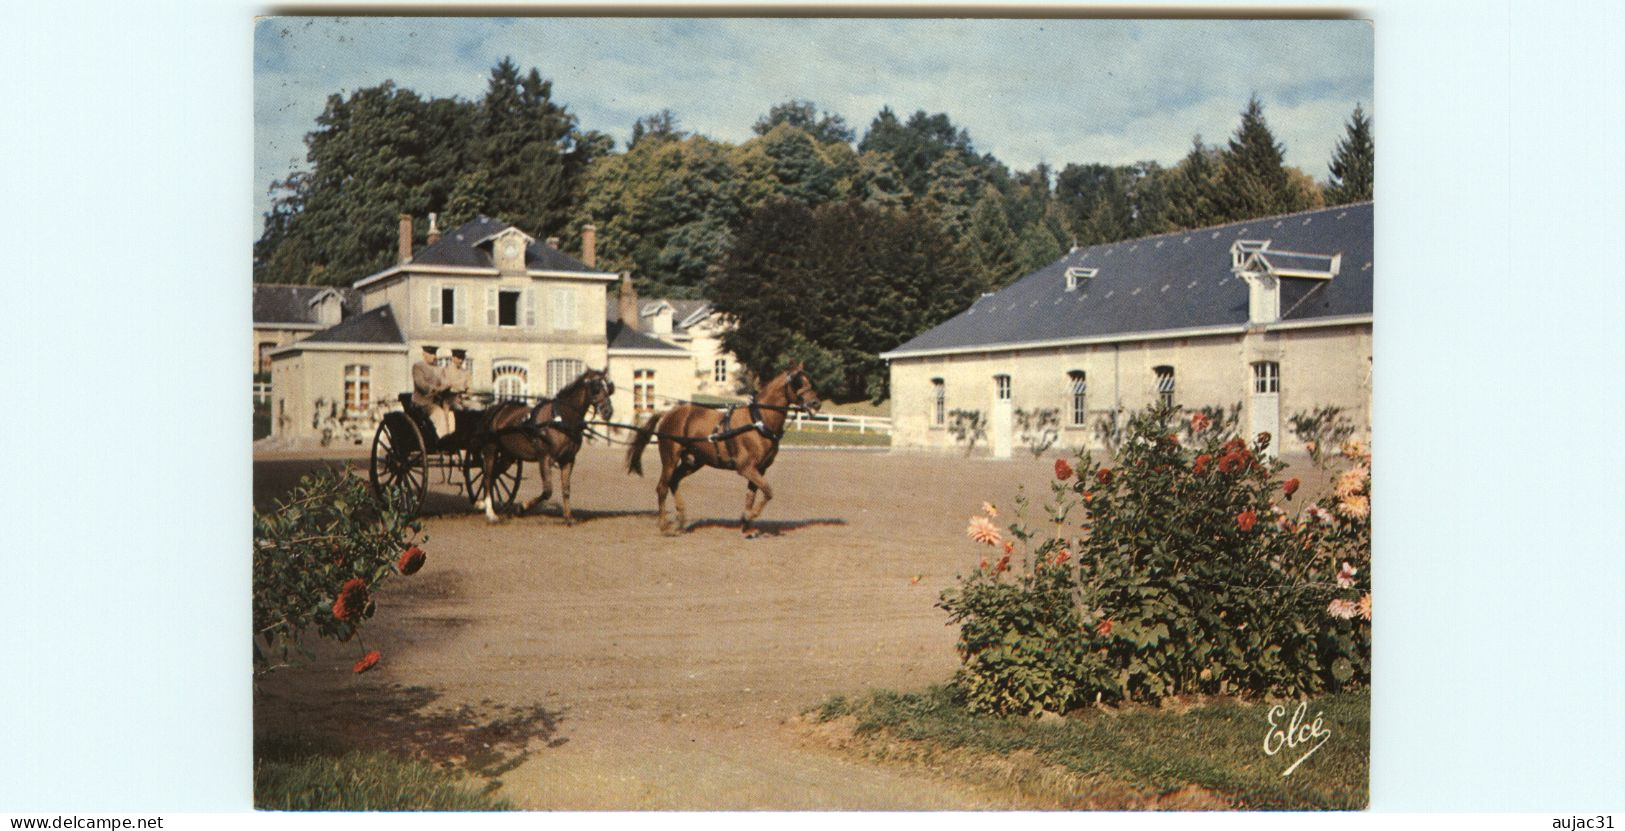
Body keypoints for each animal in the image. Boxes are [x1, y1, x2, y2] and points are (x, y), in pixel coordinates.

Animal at [477, 367, 617, 523]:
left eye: (609, 388)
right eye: (596, 388)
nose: (608, 411)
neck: (560, 419)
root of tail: (494, 409)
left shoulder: (568, 460)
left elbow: (566, 489)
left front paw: (568, 518)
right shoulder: (545, 458)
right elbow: (547, 491)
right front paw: (522, 507)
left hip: (508, 455)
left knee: (494, 475)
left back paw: (483, 504)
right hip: (491, 449)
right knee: (488, 476)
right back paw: (490, 513)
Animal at [624, 365, 825, 539]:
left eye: (809, 381)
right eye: (797, 382)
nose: (815, 403)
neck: (758, 421)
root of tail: (669, 413)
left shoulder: (758, 469)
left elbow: (751, 496)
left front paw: (747, 527)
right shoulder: (746, 468)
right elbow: (768, 492)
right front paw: (748, 517)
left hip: (693, 461)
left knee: (674, 482)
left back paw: (681, 520)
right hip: (670, 458)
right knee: (662, 487)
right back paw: (665, 526)